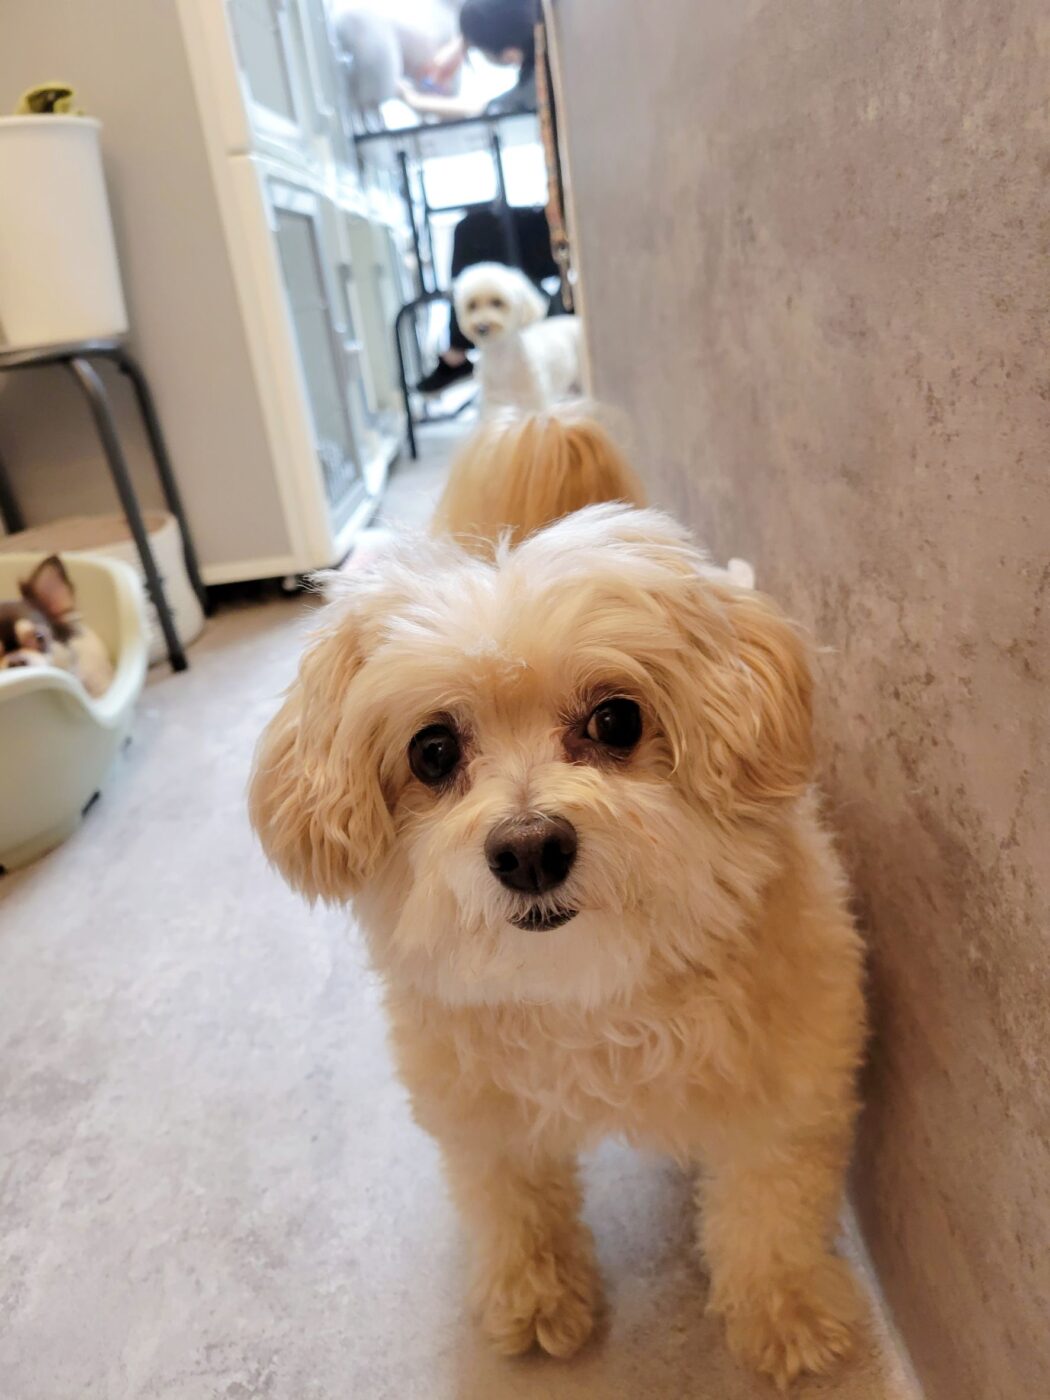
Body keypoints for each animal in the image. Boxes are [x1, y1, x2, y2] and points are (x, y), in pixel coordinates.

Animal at [250, 416, 865, 1389]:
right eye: (432, 751)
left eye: (616, 720)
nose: (530, 849)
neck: (586, 996)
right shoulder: (485, 1120)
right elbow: (515, 1204)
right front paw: (536, 1299)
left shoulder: (788, 1087)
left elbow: (770, 1206)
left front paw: (786, 1310)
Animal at [454, 263, 583, 411]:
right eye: (472, 305)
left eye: (497, 302)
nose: (482, 327)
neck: (500, 355)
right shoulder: (492, 403)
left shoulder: (534, 398)